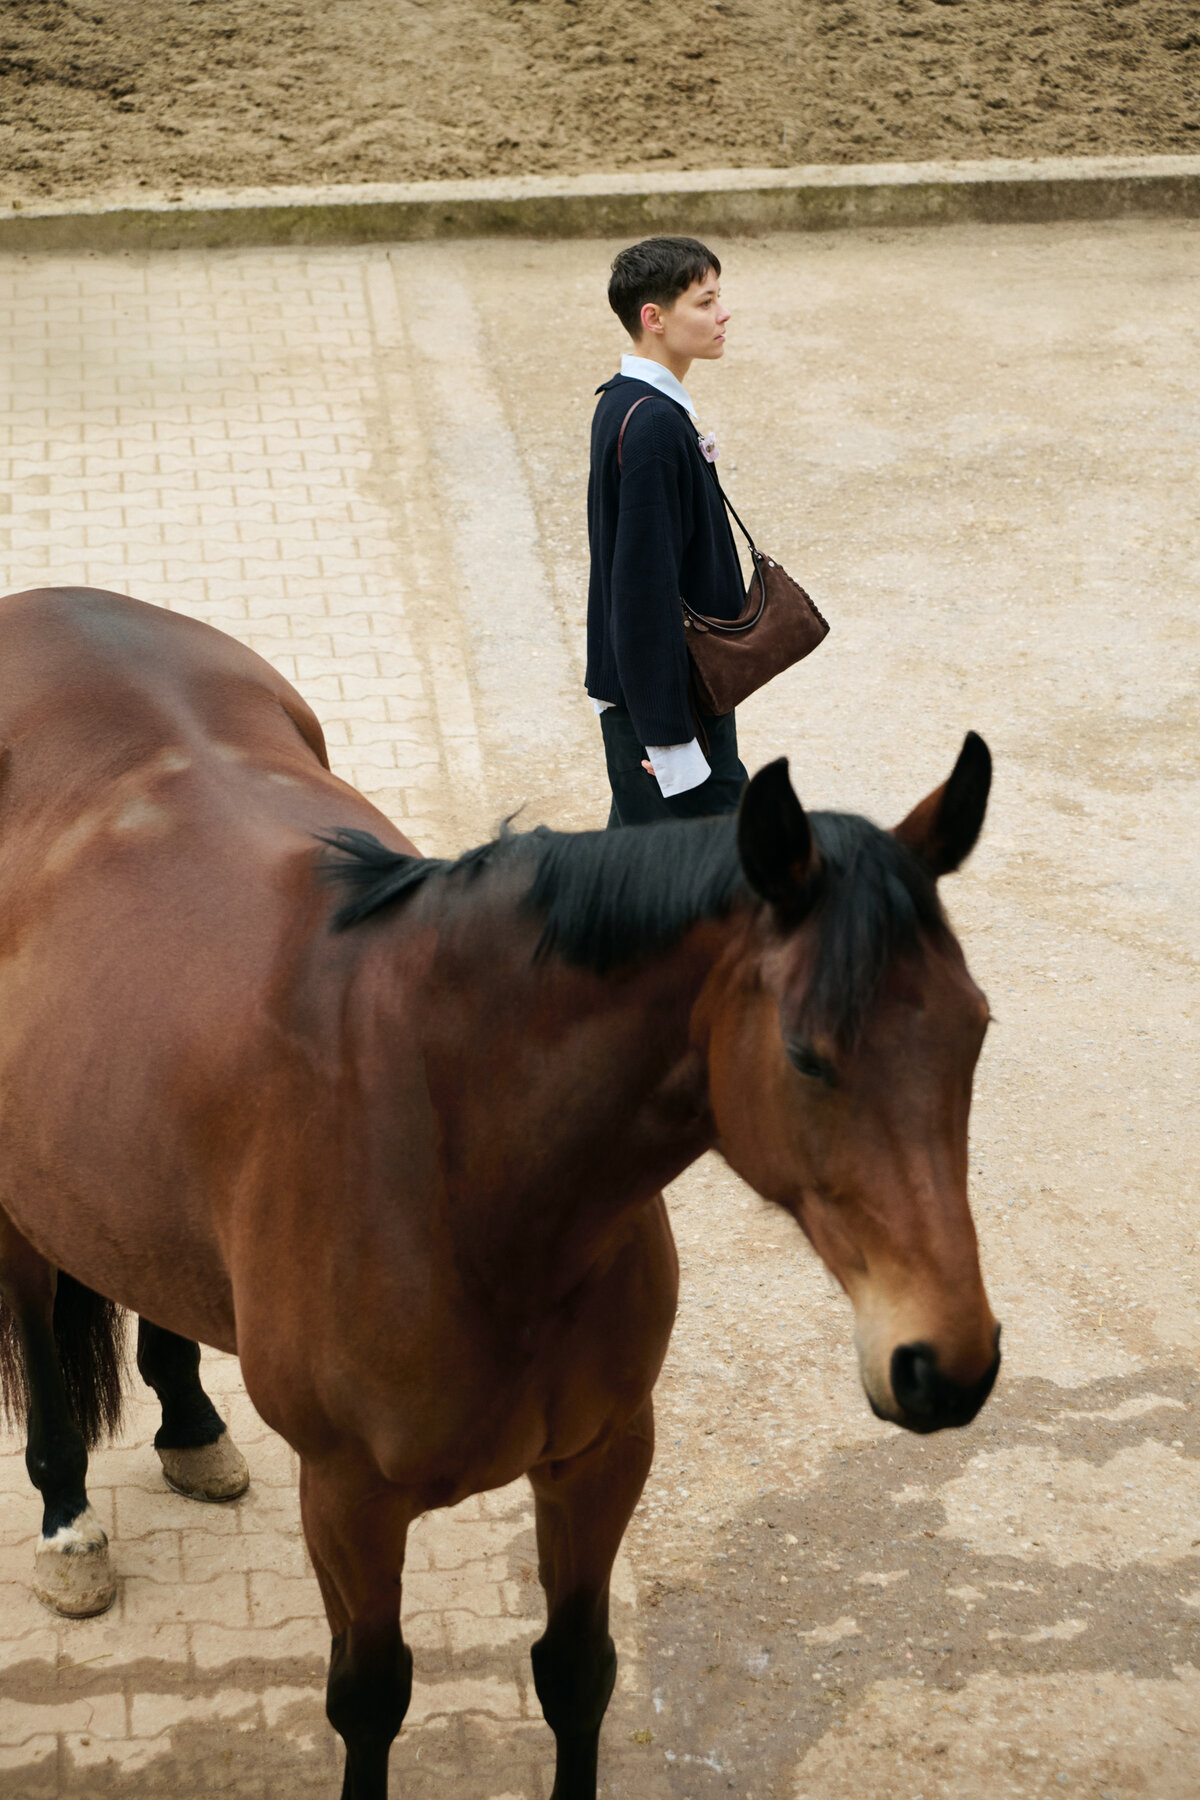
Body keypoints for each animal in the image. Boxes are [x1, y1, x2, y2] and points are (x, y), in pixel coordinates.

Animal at [0, 585, 1000, 1800]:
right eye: (809, 1056)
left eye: (975, 1029)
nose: (949, 1362)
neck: (466, 1170)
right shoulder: (349, 1498)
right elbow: (370, 1697)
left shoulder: (602, 1456)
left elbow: (576, 1670)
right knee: (35, 1315)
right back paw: (67, 1523)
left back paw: (190, 1425)